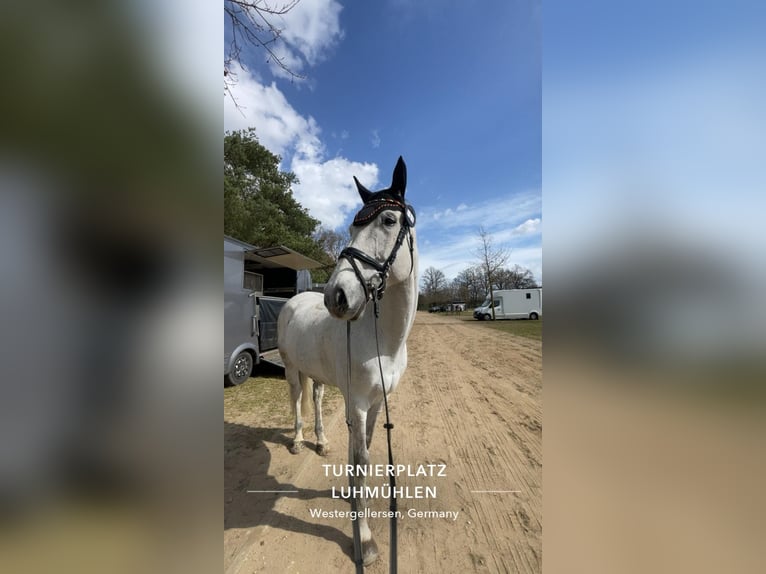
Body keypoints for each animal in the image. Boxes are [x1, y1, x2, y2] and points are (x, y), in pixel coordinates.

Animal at [277, 156, 418, 567]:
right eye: (353, 226)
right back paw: (298, 440)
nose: (336, 296)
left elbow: (365, 452)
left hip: (319, 376)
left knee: (317, 397)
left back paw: (322, 442)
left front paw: (357, 502)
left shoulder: (375, 404)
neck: (383, 342)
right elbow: (361, 461)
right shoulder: (356, 403)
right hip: (292, 369)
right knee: (297, 400)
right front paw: (365, 538)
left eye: (388, 220)